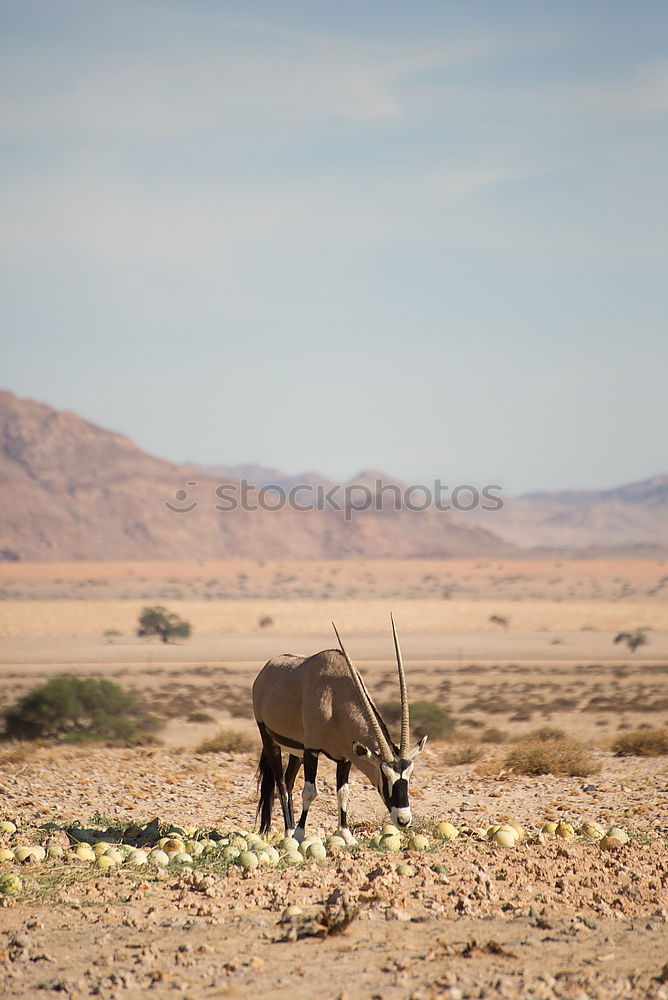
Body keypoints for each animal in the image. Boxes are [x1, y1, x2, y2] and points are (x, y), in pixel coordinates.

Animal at [253, 616, 426, 844]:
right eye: (385, 776)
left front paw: (346, 835)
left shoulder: (345, 757)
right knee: (281, 783)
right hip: (269, 738)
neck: (334, 697)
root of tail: (265, 671)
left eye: (409, 776)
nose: (403, 820)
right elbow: (310, 792)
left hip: (295, 751)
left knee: (288, 782)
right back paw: (290, 831)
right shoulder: (311, 750)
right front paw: (300, 834)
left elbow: (343, 792)